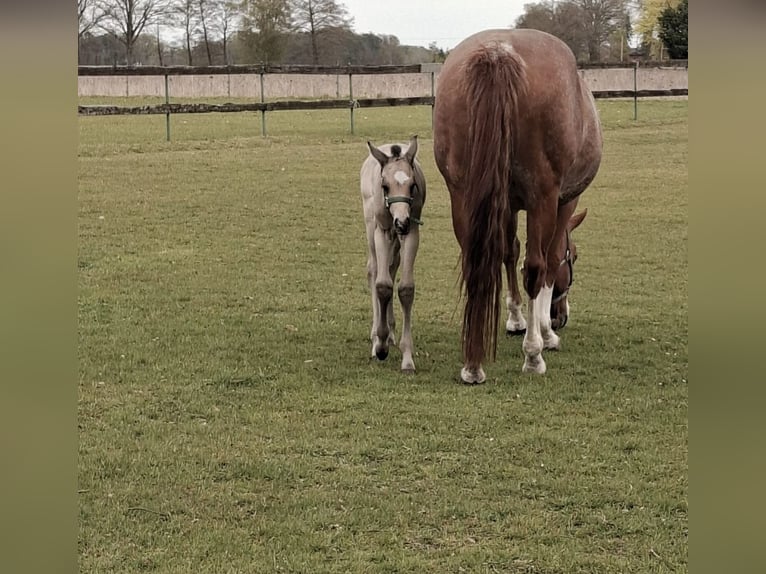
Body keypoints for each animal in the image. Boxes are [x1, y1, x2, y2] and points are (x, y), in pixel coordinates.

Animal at [360, 135, 426, 373]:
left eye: (412, 185)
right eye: (385, 186)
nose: (401, 222)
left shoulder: (412, 231)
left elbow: (404, 288)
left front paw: (406, 358)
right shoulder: (383, 231)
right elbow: (382, 285)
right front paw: (380, 346)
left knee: (392, 266)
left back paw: (390, 331)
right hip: (371, 227)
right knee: (374, 270)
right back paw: (377, 335)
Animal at [433, 29, 602, 383]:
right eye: (575, 257)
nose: (561, 316)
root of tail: (499, 52)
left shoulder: (505, 203)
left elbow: (507, 251)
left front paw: (514, 318)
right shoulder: (564, 201)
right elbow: (547, 262)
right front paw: (545, 334)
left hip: (462, 194)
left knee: (475, 261)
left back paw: (473, 364)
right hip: (543, 197)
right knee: (536, 266)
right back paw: (533, 355)